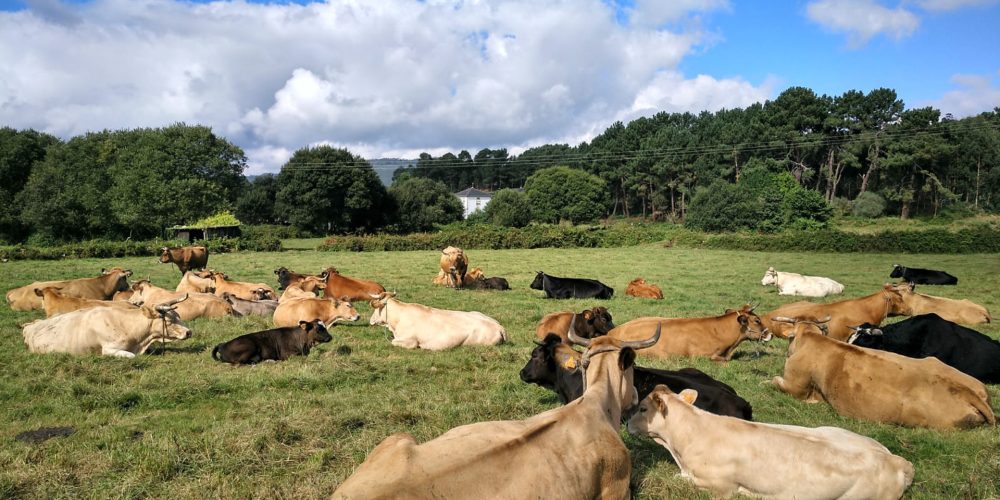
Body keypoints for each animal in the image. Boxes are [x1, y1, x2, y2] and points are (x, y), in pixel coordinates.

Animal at [22, 295, 191, 357]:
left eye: (178, 316)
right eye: (168, 321)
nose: (189, 332)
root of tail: (29, 326)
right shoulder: (109, 349)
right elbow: (132, 356)